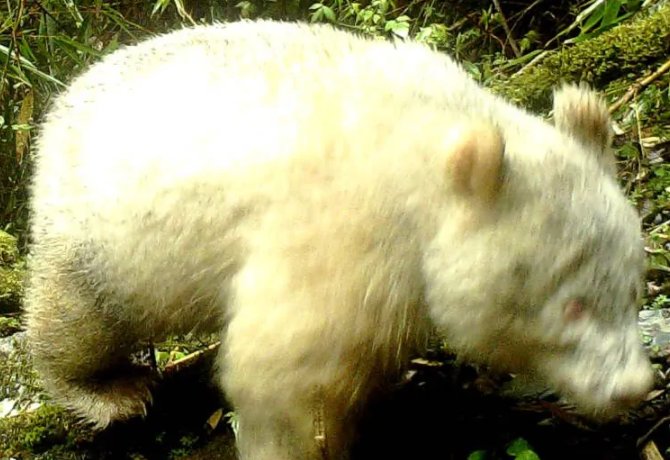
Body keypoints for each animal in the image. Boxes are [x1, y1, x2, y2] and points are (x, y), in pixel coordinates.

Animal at [24, 20, 653, 460]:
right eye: (573, 305)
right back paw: (108, 390)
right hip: (100, 229)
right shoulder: (344, 231)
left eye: (635, 290)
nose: (635, 387)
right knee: (78, 317)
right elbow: (284, 368)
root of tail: (62, 101)